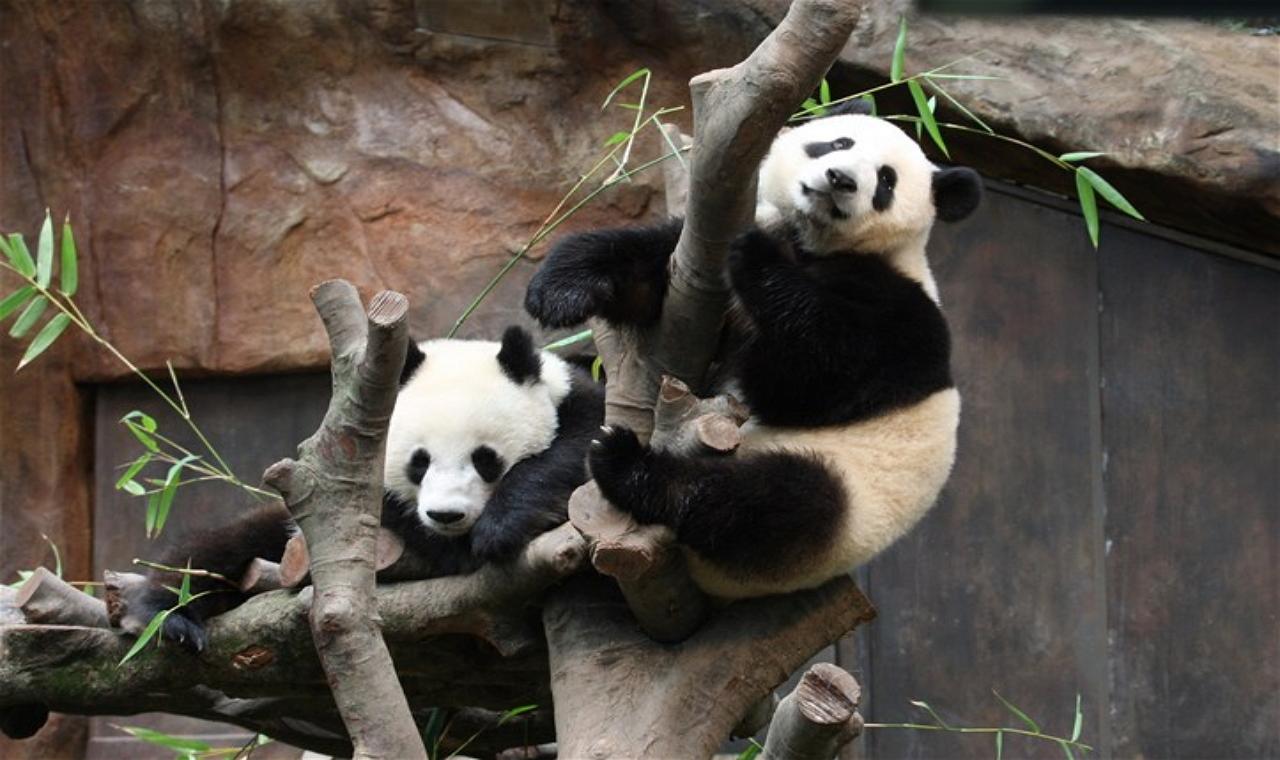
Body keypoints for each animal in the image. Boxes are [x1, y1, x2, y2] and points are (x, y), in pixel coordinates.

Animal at [127, 326, 604, 651]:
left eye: (485, 459)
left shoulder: (582, 402)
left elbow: (577, 455)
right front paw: (459, 545)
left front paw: (499, 528)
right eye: (419, 461)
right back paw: (170, 618)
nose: (446, 515)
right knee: (218, 548)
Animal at [524, 102, 981, 598]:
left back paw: (626, 464)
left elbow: (812, 377)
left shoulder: (902, 311)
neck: (812, 241)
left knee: (766, 504)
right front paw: (560, 287)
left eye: (885, 182)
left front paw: (759, 259)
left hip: (843, 496)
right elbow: (648, 274)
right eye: (839, 143)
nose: (840, 178)